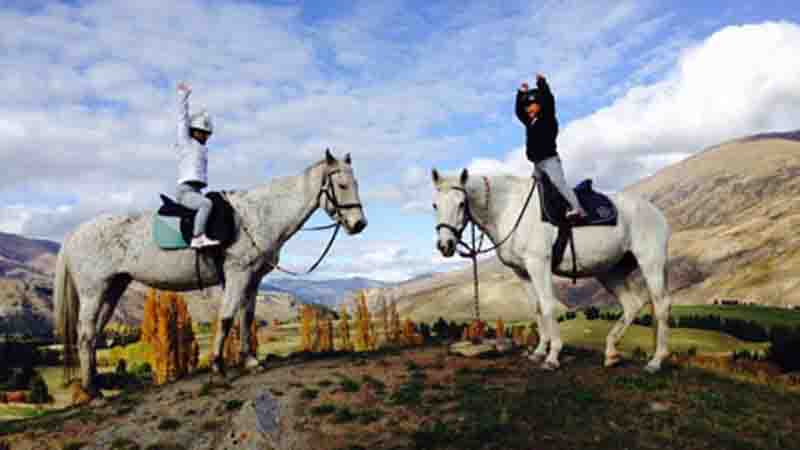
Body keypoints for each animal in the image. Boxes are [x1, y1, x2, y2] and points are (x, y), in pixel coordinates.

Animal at [54, 149, 368, 396]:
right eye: (341, 184)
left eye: (356, 183)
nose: (359, 224)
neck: (259, 215)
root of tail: (75, 233)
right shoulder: (238, 275)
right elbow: (227, 318)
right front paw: (219, 368)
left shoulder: (251, 279)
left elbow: (246, 318)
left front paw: (250, 361)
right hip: (94, 292)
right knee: (85, 335)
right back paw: (92, 391)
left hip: (112, 289)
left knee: (93, 335)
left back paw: (94, 384)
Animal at [434, 169, 672, 372]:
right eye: (435, 205)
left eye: (461, 204)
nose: (445, 245)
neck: (509, 208)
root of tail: (656, 212)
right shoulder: (523, 272)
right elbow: (537, 308)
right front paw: (539, 351)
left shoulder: (538, 264)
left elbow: (548, 305)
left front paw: (552, 356)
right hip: (609, 272)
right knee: (632, 304)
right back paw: (611, 353)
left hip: (651, 263)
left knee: (661, 305)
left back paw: (656, 361)